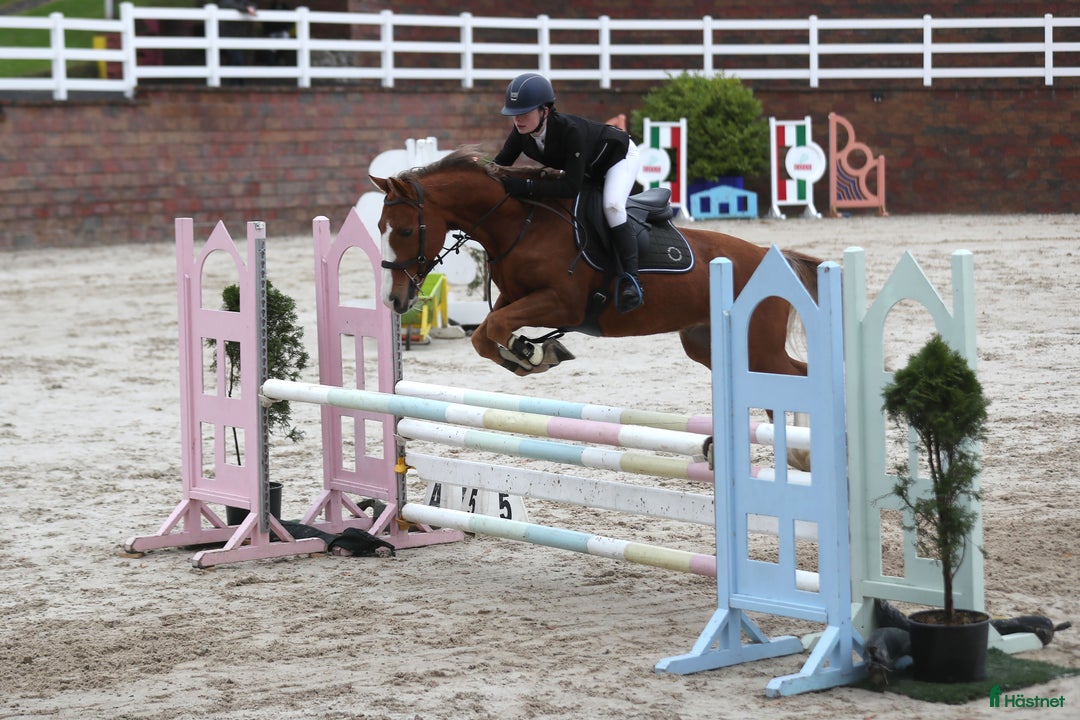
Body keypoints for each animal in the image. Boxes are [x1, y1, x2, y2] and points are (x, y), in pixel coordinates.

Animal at [370, 147, 823, 380]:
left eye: (406, 231)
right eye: (378, 226)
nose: (393, 300)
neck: (521, 224)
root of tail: (772, 259)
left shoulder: (562, 303)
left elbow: (496, 328)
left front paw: (529, 352)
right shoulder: (516, 298)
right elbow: (484, 334)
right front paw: (530, 355)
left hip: (758, 348)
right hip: (707, 343)